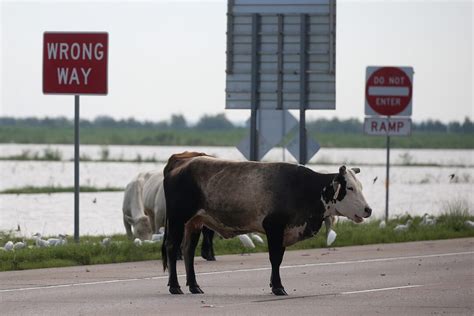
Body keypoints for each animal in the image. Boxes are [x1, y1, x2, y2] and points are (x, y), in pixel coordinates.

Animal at [161, 152, 372, 296]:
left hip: (194, 222)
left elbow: (279, 258)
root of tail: (182, 162)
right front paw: (278, 287)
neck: (303, 188)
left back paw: (194, 286)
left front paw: (274, 285)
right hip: (178, 219)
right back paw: (175, 286)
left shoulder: (285, 231)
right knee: (173, 248)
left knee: (188, 251)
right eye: (350, 188)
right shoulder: (274, 227)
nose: (368, 210)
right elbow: (275, 258)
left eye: (361, 187)